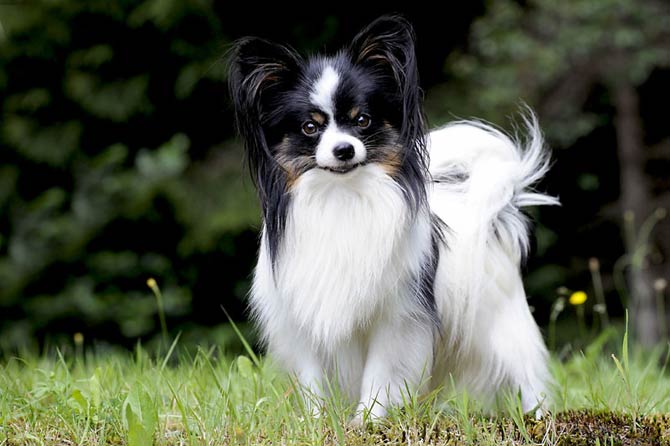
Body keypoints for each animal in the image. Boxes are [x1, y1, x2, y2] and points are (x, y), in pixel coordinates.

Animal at [228, 14, 560, 422]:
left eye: (362, 120)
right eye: (310, 127)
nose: (343, 149)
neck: (343, 197)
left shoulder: (397, 321)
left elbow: (380, 377)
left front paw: (367, 422)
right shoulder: (304, 324)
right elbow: (312, 384)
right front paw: (318, 424)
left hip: (500, 325)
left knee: (526, 376)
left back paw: (539, 419)